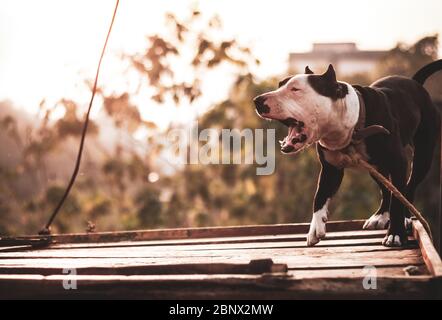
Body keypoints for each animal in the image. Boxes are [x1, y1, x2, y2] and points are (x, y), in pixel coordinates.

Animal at [254, 60, 440, 248]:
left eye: (295, 89)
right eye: (280, 85)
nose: (257, 100)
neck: (352, 127)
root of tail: (414, 82)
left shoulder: (398, 163)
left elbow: (398, 199)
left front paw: (396, 234)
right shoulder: (330, 170)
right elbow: (319, 196)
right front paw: (315, 228)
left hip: (422, 157)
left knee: (408, 189)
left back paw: (406, 218)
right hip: (376, 168)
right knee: (386, 189)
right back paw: (380, 216)